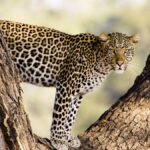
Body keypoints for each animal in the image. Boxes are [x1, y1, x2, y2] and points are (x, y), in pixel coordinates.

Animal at [0, 20, 139, 150]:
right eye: (112, 50)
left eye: (126, 51)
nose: (120, 63)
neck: (101, 64)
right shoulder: (67, 85)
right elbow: (61, 115)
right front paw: (58, 140)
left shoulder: (79, 93)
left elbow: (71, 116)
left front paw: (67, 138)